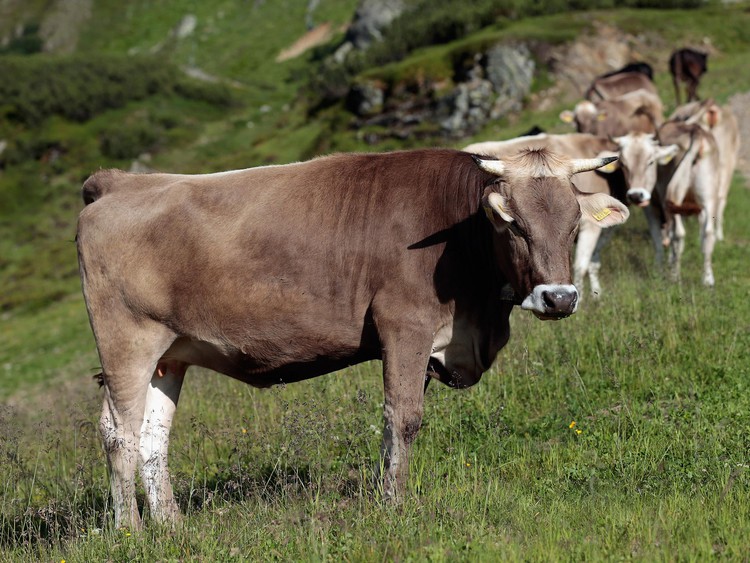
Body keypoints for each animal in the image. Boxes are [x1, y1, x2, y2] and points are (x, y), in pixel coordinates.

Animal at [464, 133, 626, 299]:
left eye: (575, 222)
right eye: (514, 225)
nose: (561, 299)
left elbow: (593, 262)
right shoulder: (591, 230)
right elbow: (582, 265)